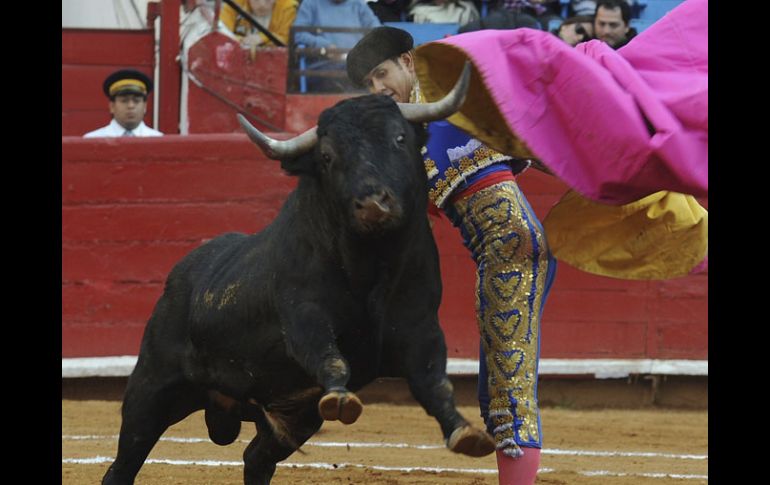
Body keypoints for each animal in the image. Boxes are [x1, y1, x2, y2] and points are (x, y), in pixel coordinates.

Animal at [102, 69, 492, 484]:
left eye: (400, 139)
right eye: (327, 156)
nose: (373, 203)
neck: (370, 265)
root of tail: (179, 275)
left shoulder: (421, 327)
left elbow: (435, 383)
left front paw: (466, 432)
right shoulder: (304, 318)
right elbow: (331, 359)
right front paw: (341, 398)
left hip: (294, 418)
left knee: (256, 458)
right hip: (151, 389)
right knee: (124, 462)